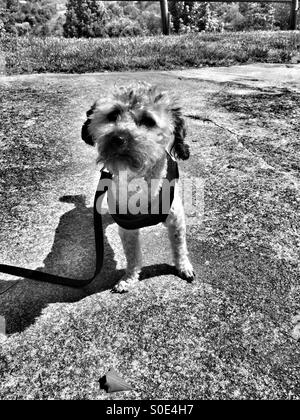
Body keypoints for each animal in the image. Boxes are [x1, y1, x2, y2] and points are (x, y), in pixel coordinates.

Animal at [82, 82, 195, 292]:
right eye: (112, 115)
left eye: (149, 121)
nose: (118, 138)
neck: (139, 182)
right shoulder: (127, 229)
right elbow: (132, 256)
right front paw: (128, 278)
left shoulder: (176, 219)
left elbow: (179, 247)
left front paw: (183, 267)